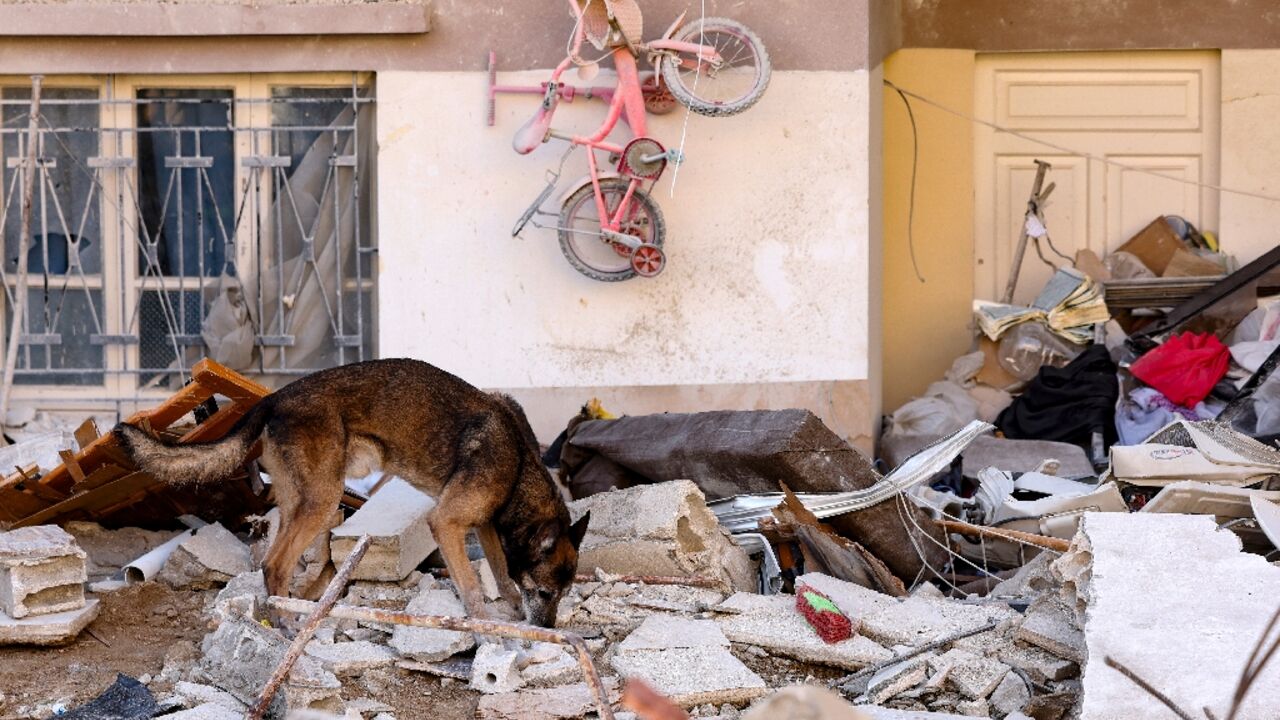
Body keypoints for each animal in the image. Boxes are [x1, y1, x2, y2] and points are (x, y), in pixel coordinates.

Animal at [111, 356, 588, 622]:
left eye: (561, 596)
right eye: (546, 594)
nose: (548, 629)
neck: (518, 462)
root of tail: (273, 399)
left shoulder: (485, 524)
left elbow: (503, 576)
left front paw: (510, 611)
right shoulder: (447, 522)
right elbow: (472, 587)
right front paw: (487, 630)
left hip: (305, 503)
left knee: (290, 564)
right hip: (323, 502)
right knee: (275, 566)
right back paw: (288, 625)